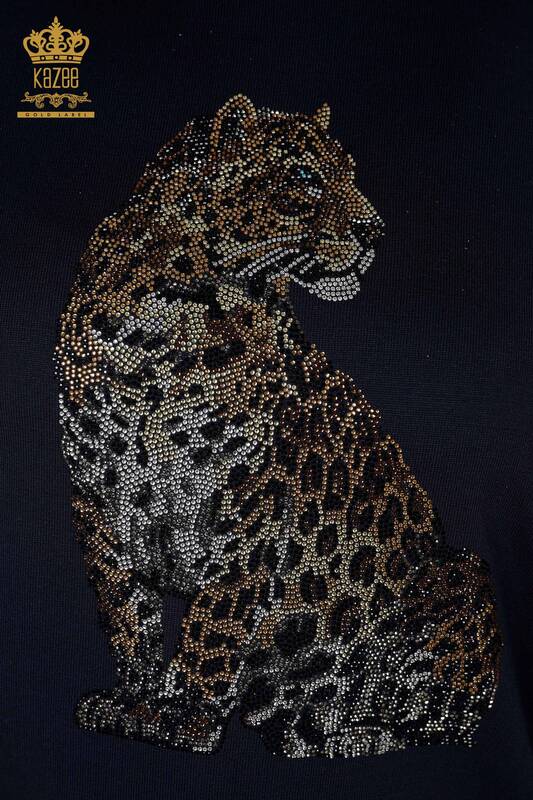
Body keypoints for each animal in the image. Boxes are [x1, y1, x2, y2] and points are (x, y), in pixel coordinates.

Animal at [54, 94, 501, 757]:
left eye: (350, 174)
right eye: (304, 178)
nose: (375, 231)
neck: (166, 325)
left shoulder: (252, 508)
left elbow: (214, 622)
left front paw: (185, 718)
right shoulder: (97, 505)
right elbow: (127, 615)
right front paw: (136, 699)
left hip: (459, 578)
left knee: (441, 719)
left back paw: (339, 732)